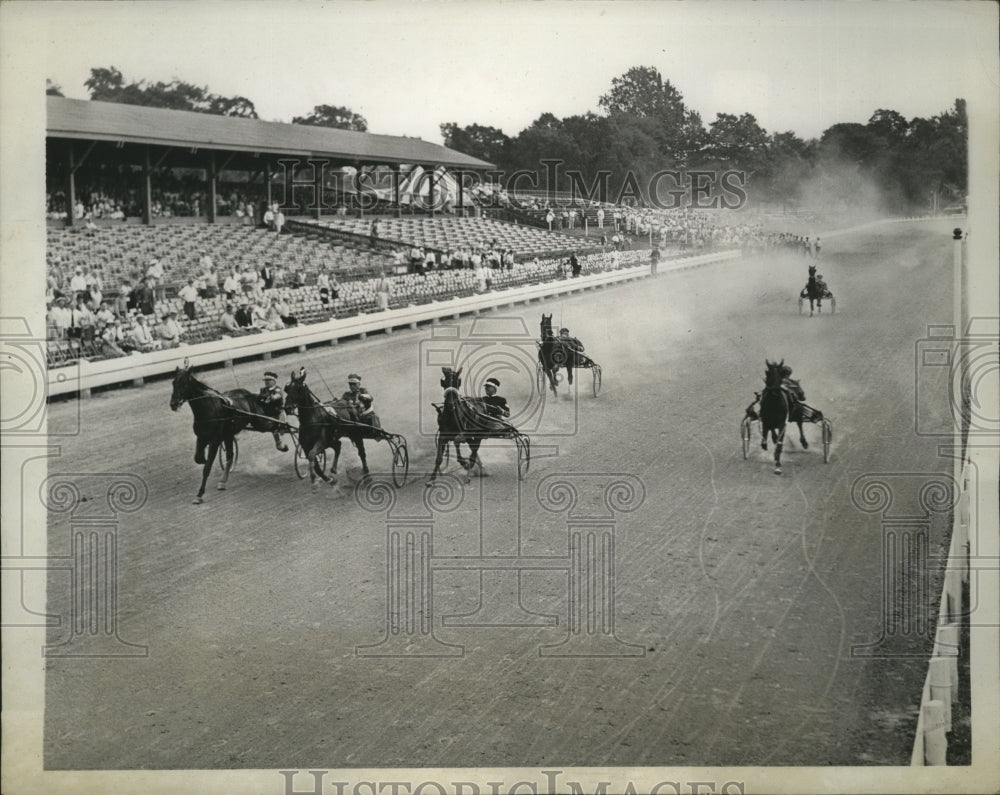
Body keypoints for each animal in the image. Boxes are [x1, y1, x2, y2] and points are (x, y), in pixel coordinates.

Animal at [170, 360, 284, 504]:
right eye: (173, 382)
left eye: (184, 383)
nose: (173, 404)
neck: (208, 410)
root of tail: (247, 393)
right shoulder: (201, 437)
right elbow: (198, 458)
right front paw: (203, 459)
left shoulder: (215, 440)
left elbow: (207, 468)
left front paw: (200, 494)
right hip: (230, 434)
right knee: (230, 455)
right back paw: (223, 481)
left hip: (259, 422)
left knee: (274, 426)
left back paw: (282, 441)